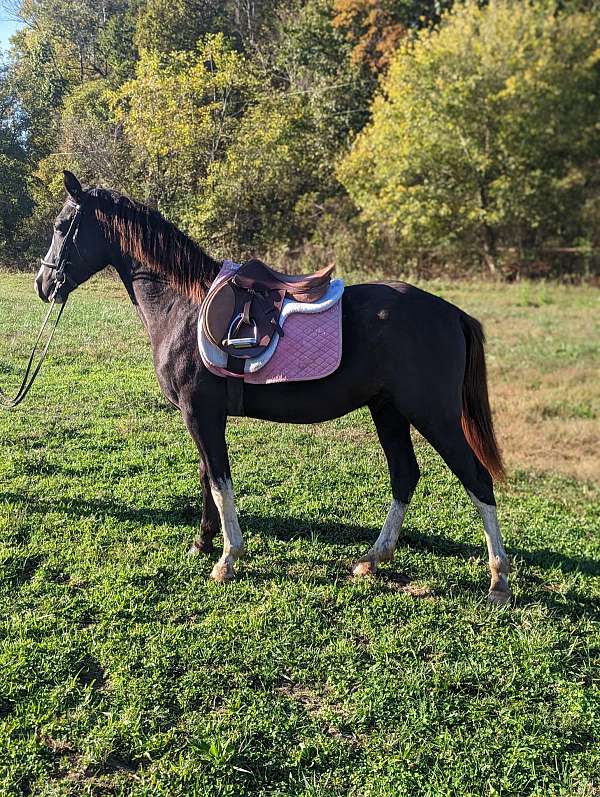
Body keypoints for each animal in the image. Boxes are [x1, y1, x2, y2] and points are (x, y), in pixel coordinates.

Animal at [34, 169, 510, 604]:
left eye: (61, 226)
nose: (43, 284)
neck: (182, 305)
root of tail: (451, 313)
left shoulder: (200, 412)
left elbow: (219, 479)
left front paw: (227, 558)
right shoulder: (202, 415)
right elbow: (207, 475)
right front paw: (202, 542)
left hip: (434, 416)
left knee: (477, 480)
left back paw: (498, 581)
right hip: (388, 411)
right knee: (405, 475)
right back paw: (373, 559)